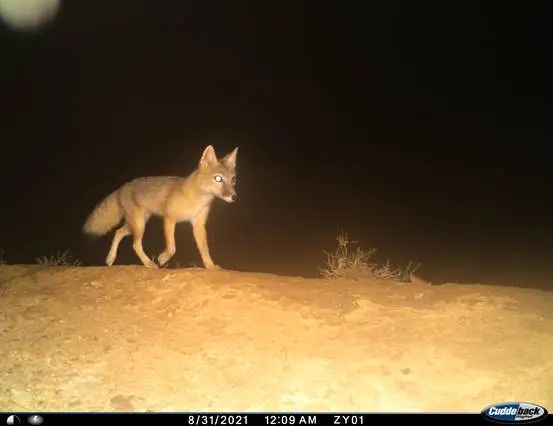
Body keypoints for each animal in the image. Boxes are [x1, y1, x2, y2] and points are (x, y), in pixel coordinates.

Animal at [82, 145, 238, 269]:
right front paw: (162, 259)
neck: (197, 199)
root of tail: (121, 188)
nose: (234, 197)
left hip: (138, 223)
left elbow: (205, 249)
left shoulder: (198, 225)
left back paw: (110, 259)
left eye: (233, 180)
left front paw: (210, 266)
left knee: (118, 232)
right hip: (139, 225)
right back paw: (148, 264)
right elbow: (172, 247)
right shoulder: (169, 219)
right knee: (135, 245)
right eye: (218, 178)